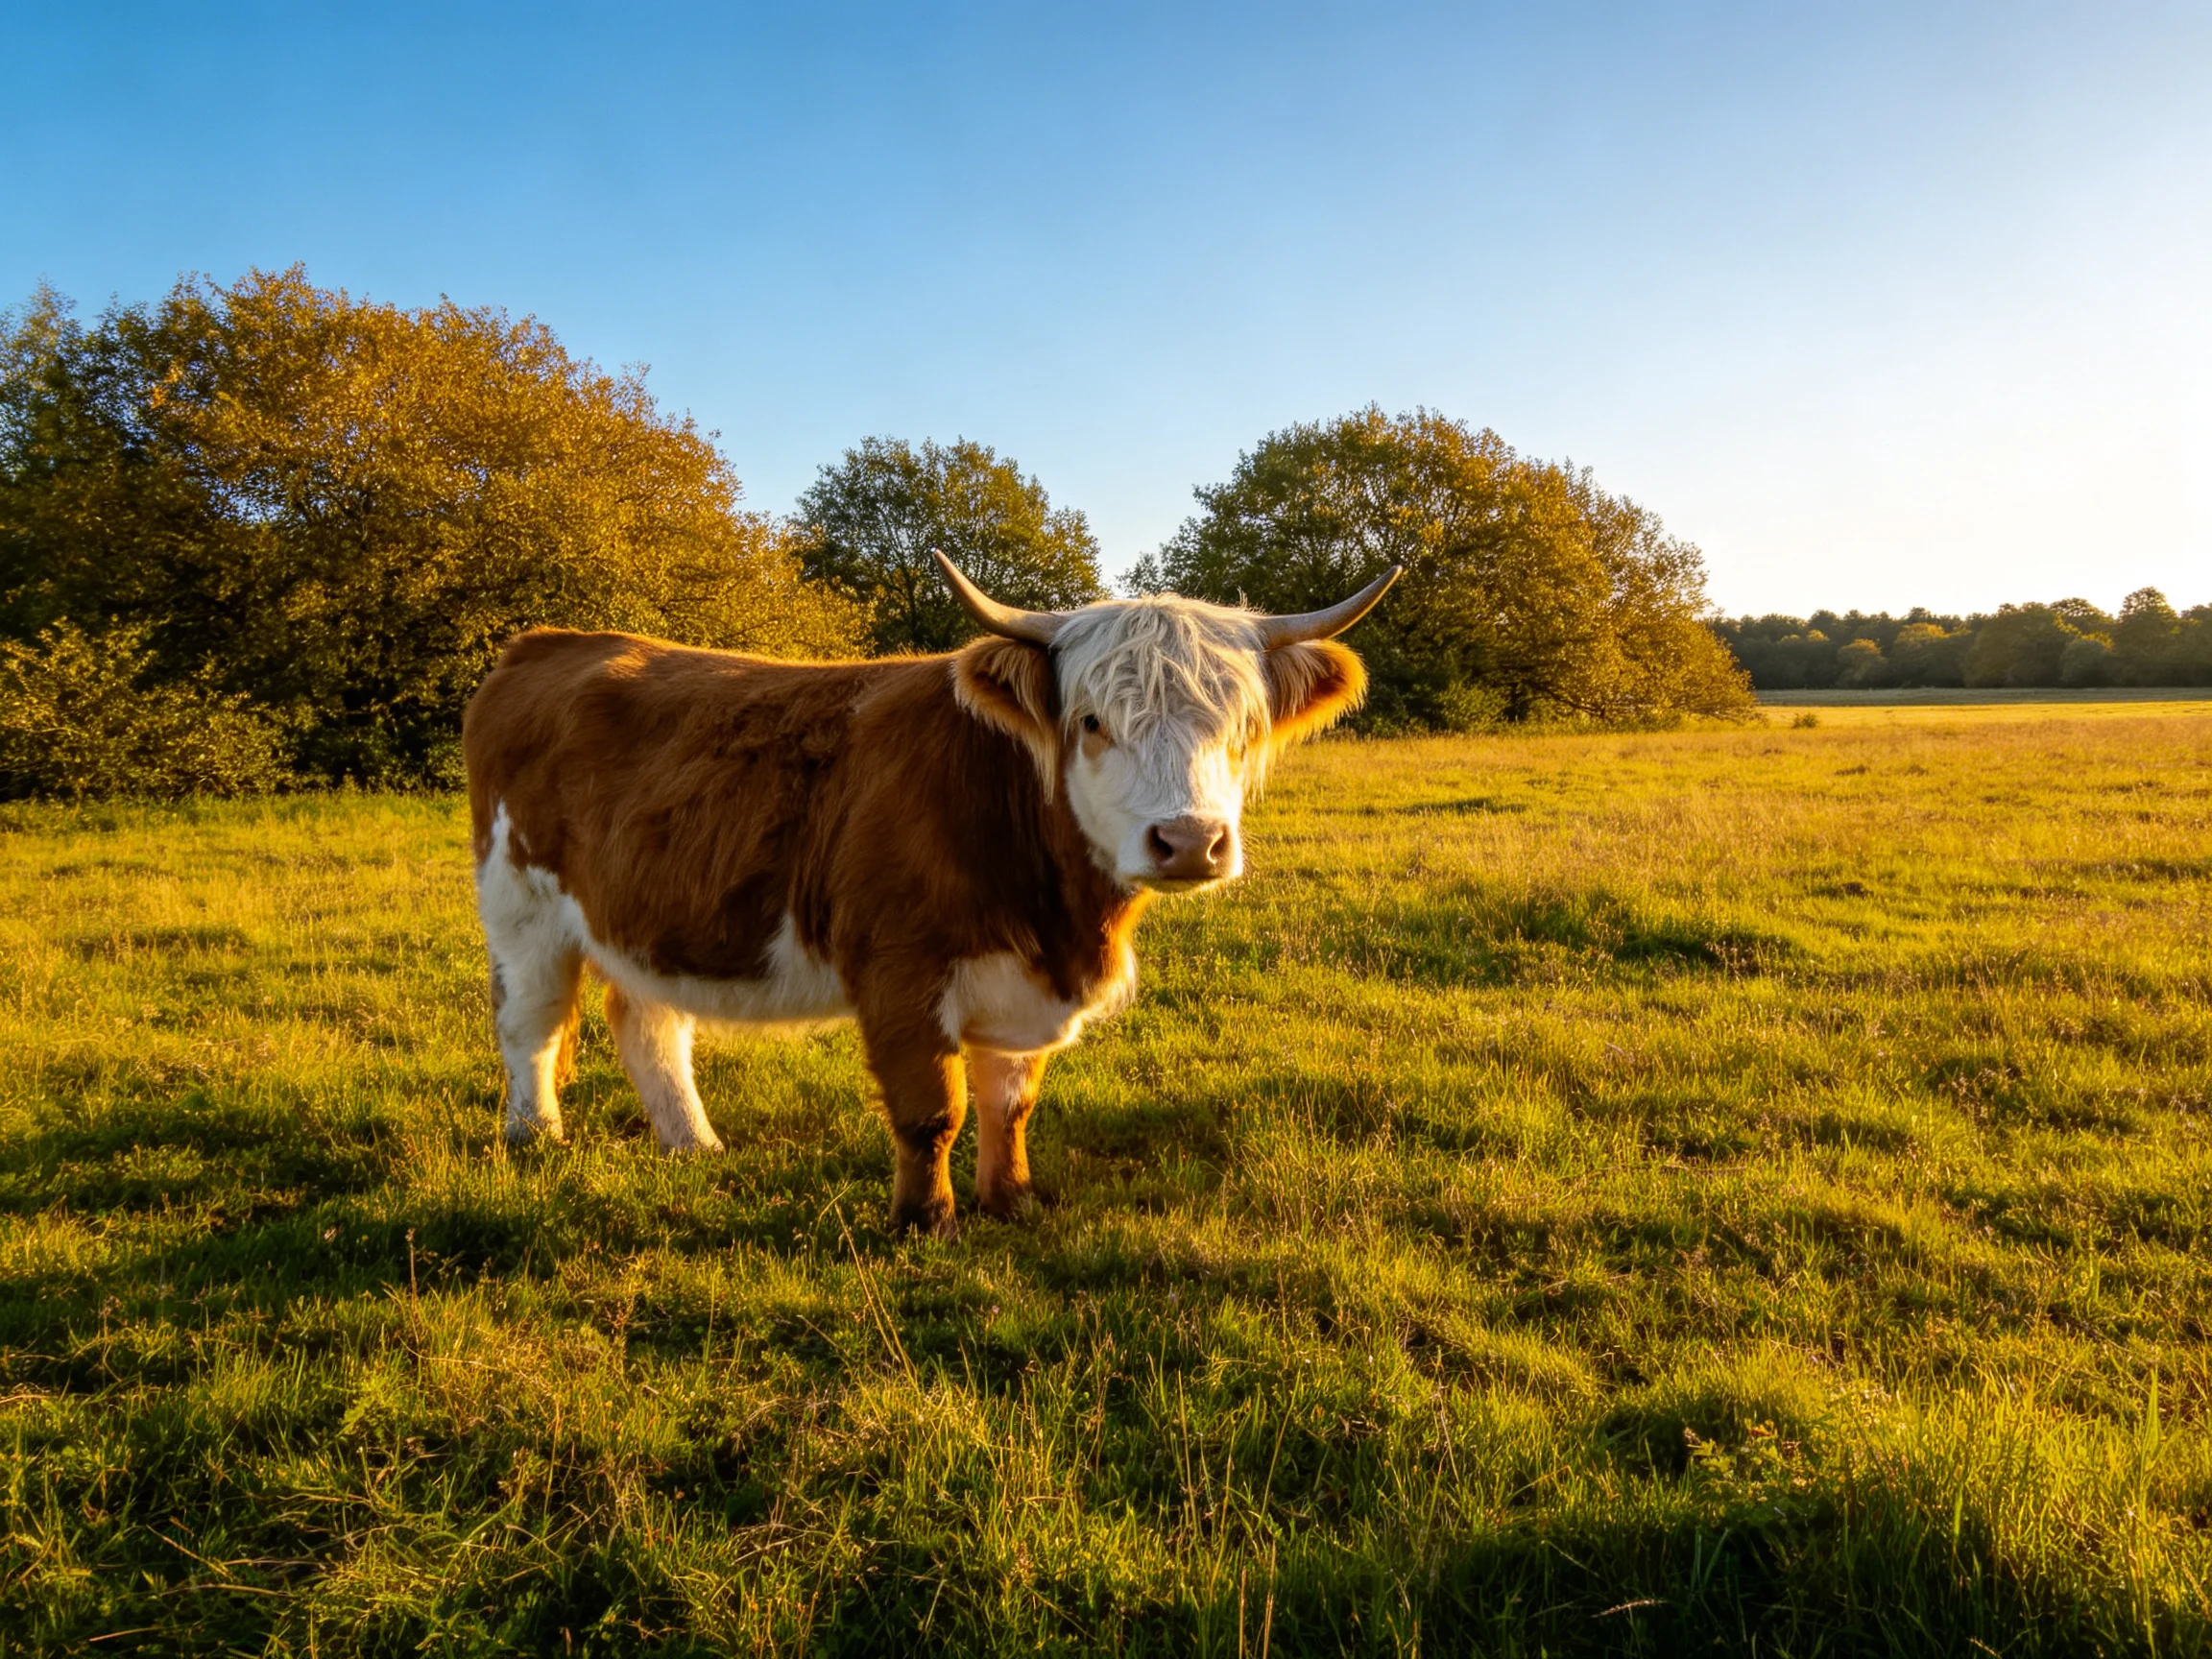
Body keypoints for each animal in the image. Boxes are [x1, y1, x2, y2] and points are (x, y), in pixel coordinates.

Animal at [462, 553, 1398, 1235]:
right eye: (1091, 721)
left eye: (1241, 728)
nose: (1190, 842)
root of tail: (547, 643)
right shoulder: (899, 970)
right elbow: (930, 1111)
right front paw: (926, 1220)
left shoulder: (1021, 985)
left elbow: (1010, 1103)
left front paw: (1010, 1201)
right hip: (522, 908)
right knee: (530, 1022)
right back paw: (534, 1136)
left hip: (646, 916)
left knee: (648, 1022)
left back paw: (693, 1145)